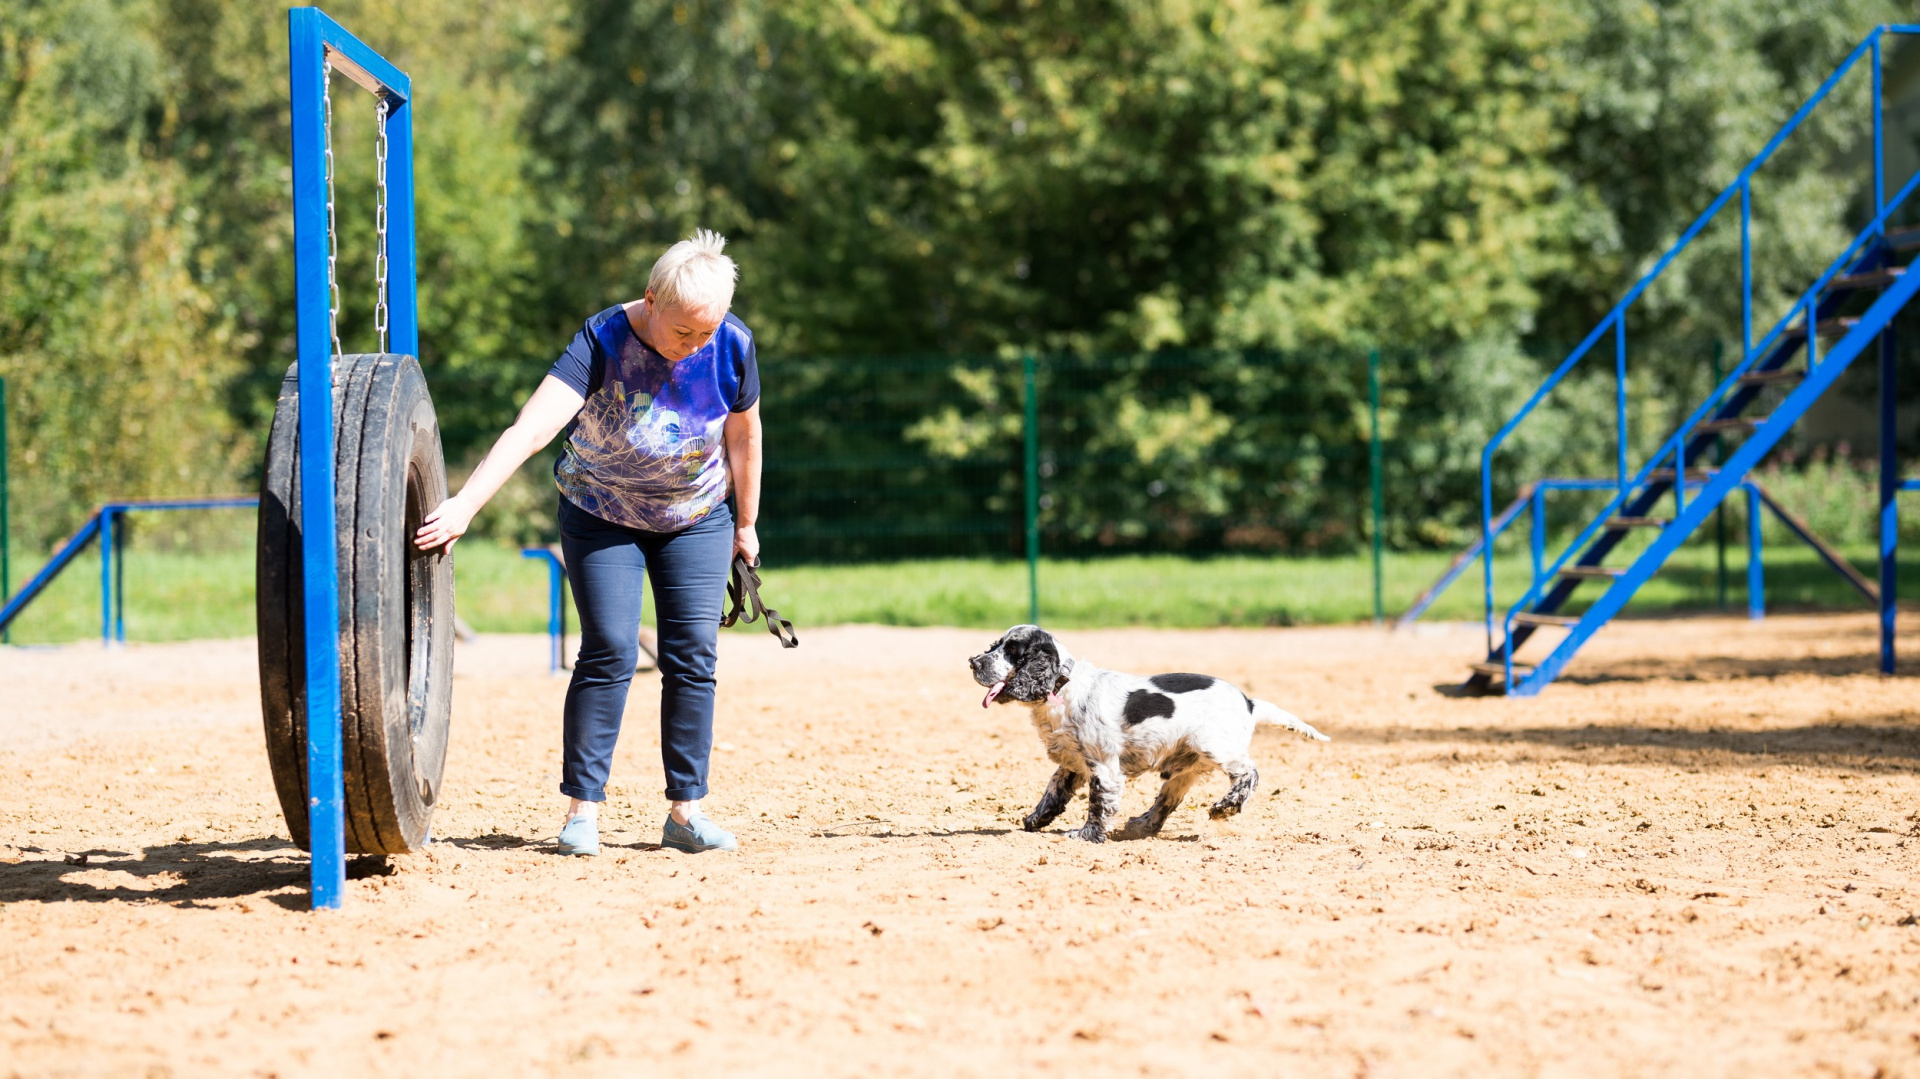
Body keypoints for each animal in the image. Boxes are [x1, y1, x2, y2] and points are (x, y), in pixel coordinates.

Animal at [967, 622, 1328, 840]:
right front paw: (1034, 820)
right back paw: (1141, 824)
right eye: (995, 645)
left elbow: (1098, 804)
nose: (973, 662)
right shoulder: (1073, 762)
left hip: (1214, 745)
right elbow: (1052, 793)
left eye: (1012, 651)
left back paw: (1226, 807)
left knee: (1249, 772)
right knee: (1167, 801)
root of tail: (1249, 702)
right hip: (1185, 769)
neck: (1063, 686)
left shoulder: (1104, 767)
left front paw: (1086, 836)